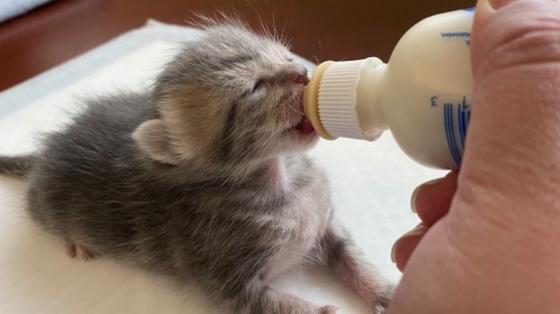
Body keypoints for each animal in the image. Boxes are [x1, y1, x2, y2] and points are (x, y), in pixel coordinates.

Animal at [0, 21, 392, 312]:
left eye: (283, 54)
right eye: (253, 88)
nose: (302, 71)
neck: (282, 181)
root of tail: (47, 150)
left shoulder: (327, 225)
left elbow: (351, 256)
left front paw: (382, 289)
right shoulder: (226, 281)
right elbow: (277, 305)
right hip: (48, 206)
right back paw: (77, 242)